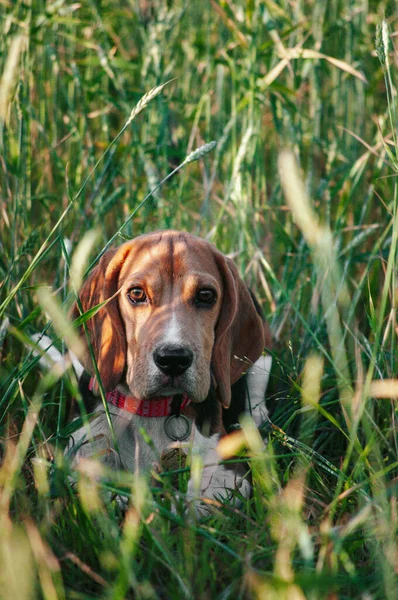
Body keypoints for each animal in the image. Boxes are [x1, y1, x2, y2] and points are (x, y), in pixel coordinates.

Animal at [69, 230, 274, 510]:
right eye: (136, 293)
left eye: (206, 295)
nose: (173, 359)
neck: (153, 410)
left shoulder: (229, 478)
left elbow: (198, 500)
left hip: (263, 359)